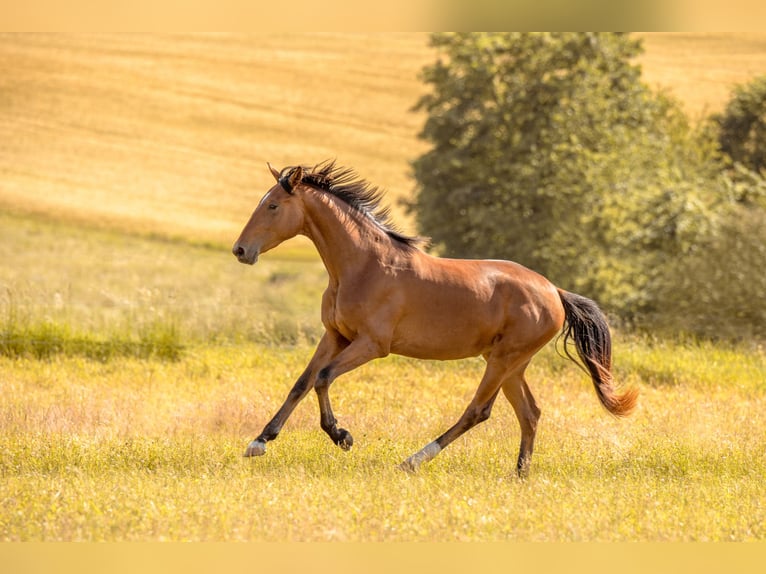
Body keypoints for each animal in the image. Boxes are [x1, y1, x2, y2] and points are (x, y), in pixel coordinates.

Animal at [231, 160, 640, 480]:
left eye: (273, 205)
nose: (240, 250)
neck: (362, 266)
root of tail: (554, 291)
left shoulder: (371, 345)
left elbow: (323, 377)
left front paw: (341, 436)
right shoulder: (335, 336)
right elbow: (301, 383)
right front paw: (259, 441)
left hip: (503, 360)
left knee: (478, 411)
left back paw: (412, 461)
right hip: (511, 364)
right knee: (530, 414)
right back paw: (519, 475)